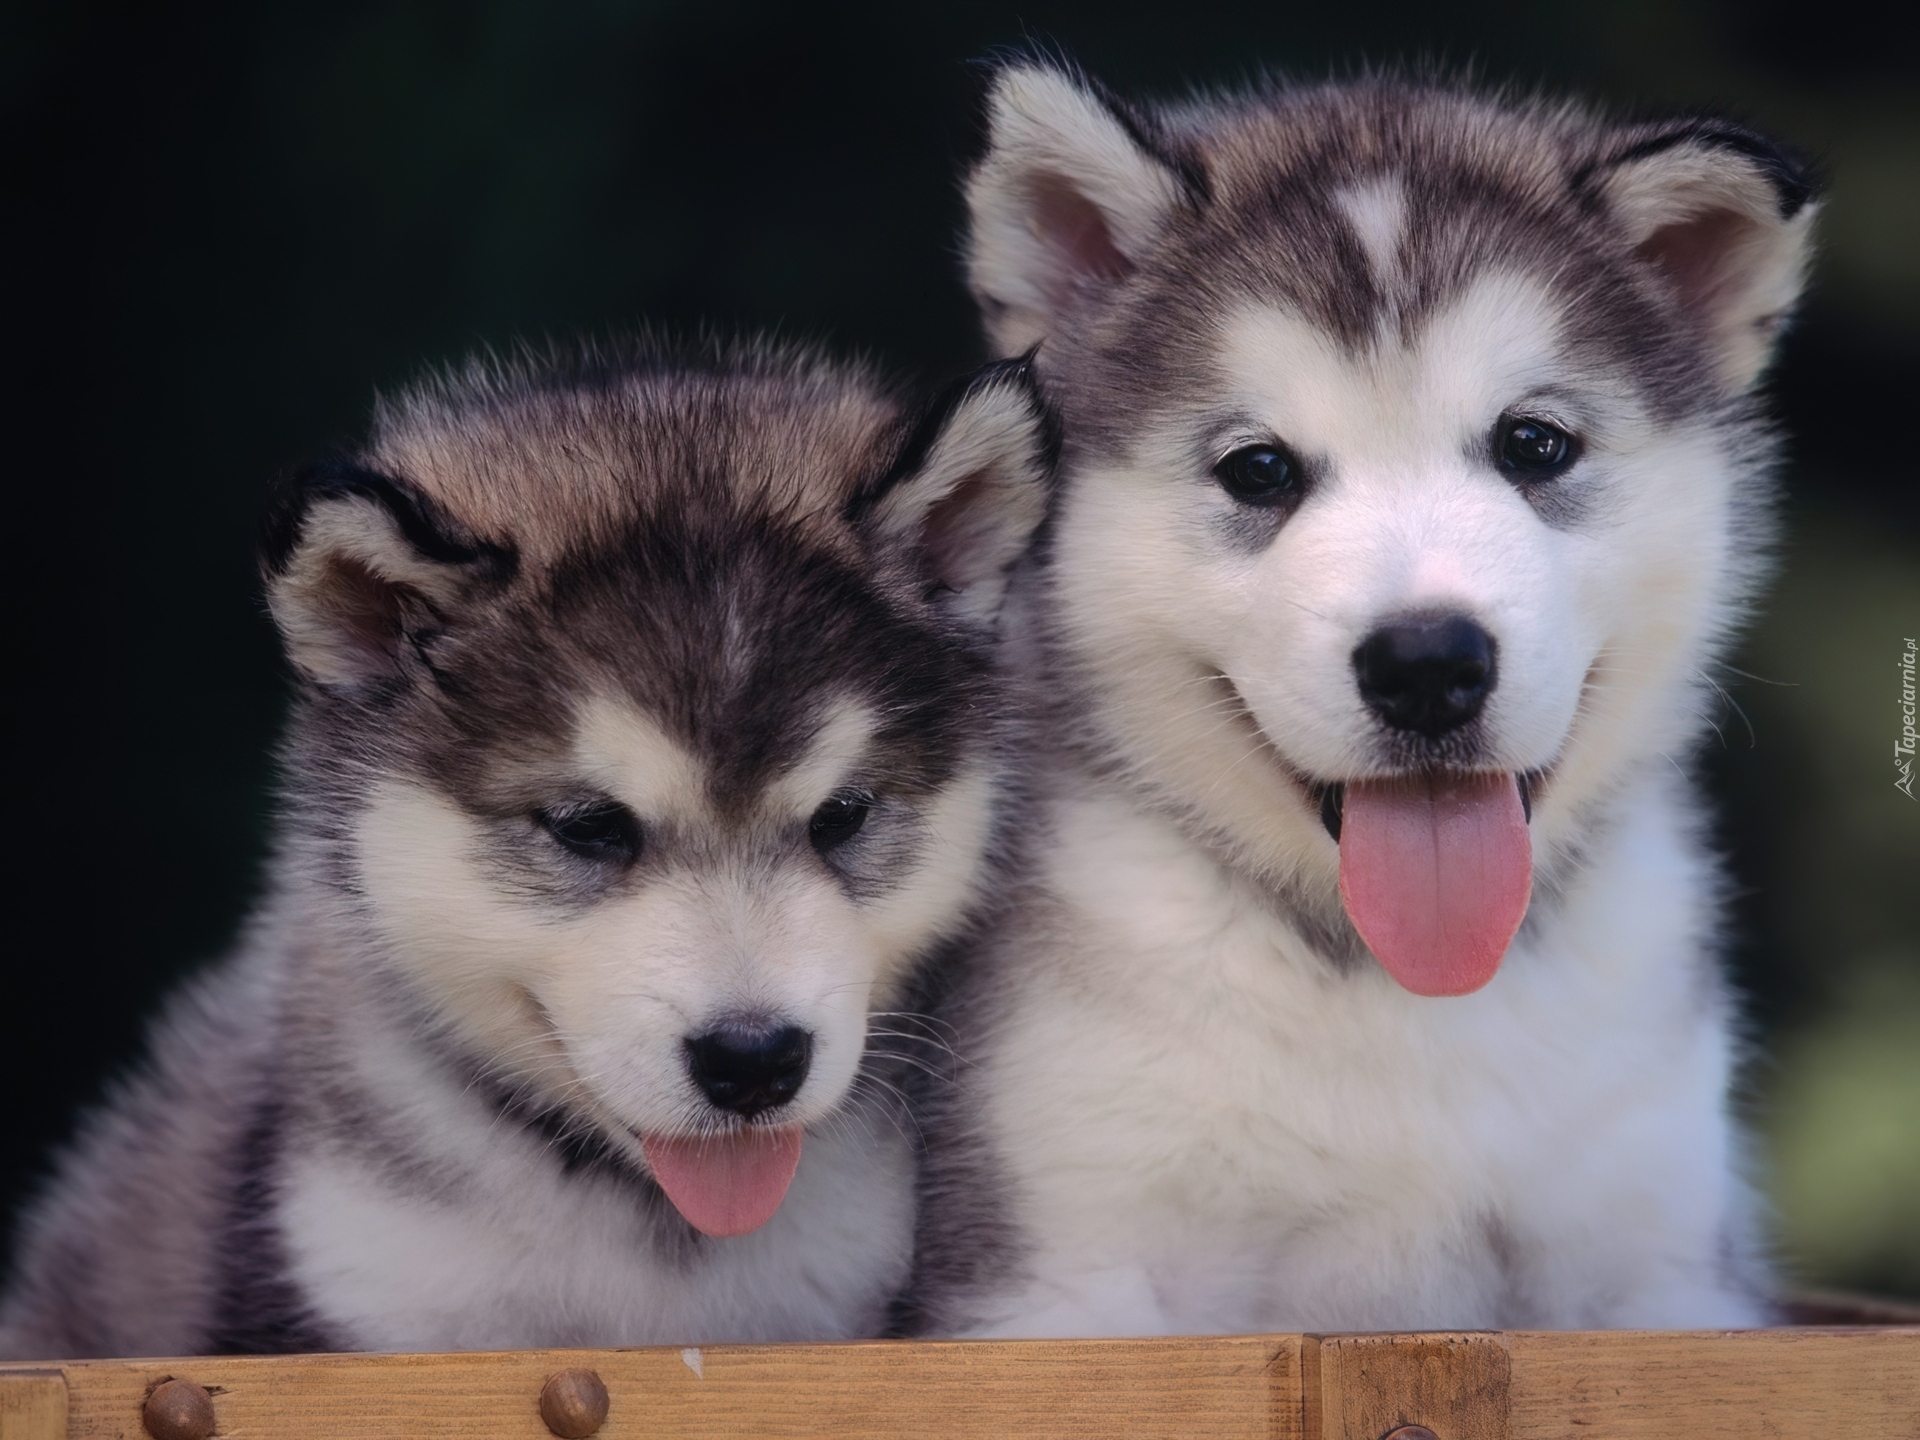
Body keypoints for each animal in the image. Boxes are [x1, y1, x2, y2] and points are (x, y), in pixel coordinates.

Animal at [906, 59, 1820, 1344]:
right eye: (1258, 469)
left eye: (1535, 444)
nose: (1428, 664)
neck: (1401, 986)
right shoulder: (1055, 1270)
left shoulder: (1660, 1264)